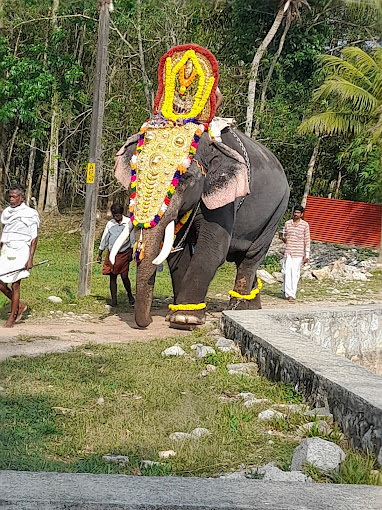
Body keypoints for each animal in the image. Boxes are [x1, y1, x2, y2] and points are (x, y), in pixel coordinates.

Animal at [110, 45, 290, 328]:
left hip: (278, 210)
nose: (145, 322)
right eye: (135, 173)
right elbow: (176, 252)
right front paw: (178, 313)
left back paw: (240, 310)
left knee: (251, 258)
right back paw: (251, 308)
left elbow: (212, 247)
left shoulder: (226, 197)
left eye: (184, 178)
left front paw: (184, 318)